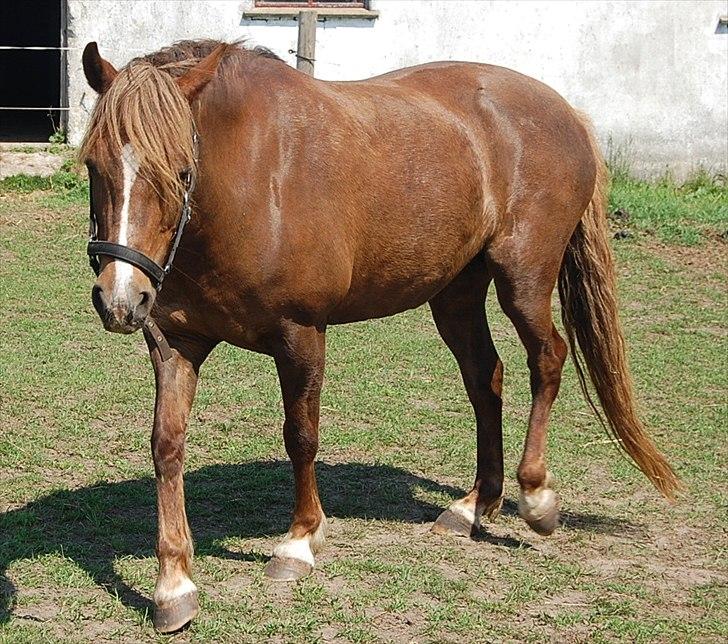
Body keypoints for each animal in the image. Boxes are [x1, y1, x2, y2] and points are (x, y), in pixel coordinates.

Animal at [78, 40, 676, 632]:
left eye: (181, 170)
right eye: (93, 164)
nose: (120, 299)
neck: (253, 180)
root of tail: (567, 112)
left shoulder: (301, 334)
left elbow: (301, 436)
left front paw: (298, 544)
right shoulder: (176, 345)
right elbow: (166, 445)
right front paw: (173, 585)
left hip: (523, 279)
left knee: (547, 360)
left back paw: (536, 496)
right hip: (456, 295)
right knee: (486, 380)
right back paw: (473, 506)